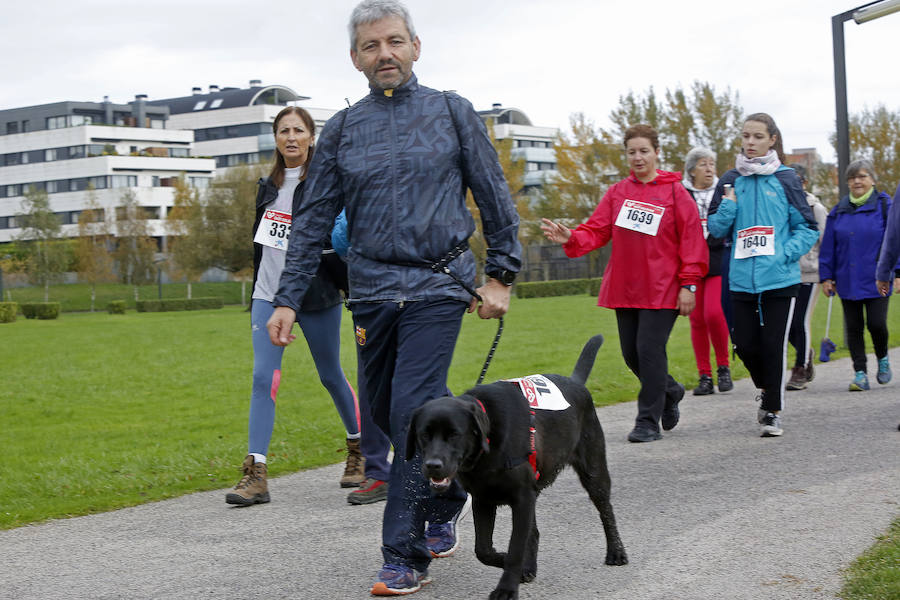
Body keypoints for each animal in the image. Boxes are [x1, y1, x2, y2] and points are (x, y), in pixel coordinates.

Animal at [408, 336, 624, 596]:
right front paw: (507, 562)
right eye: (424, 435)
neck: (488, 445)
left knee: (606, 511)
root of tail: (575, 382)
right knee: (534, 533)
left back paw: (616, 552)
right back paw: (529, 567)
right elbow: (484, 549)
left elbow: (515, 548)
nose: (433, 465)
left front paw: (507, 587)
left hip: (594, 471)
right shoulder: (484, 499)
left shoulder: (521, 498)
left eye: (454, 435)